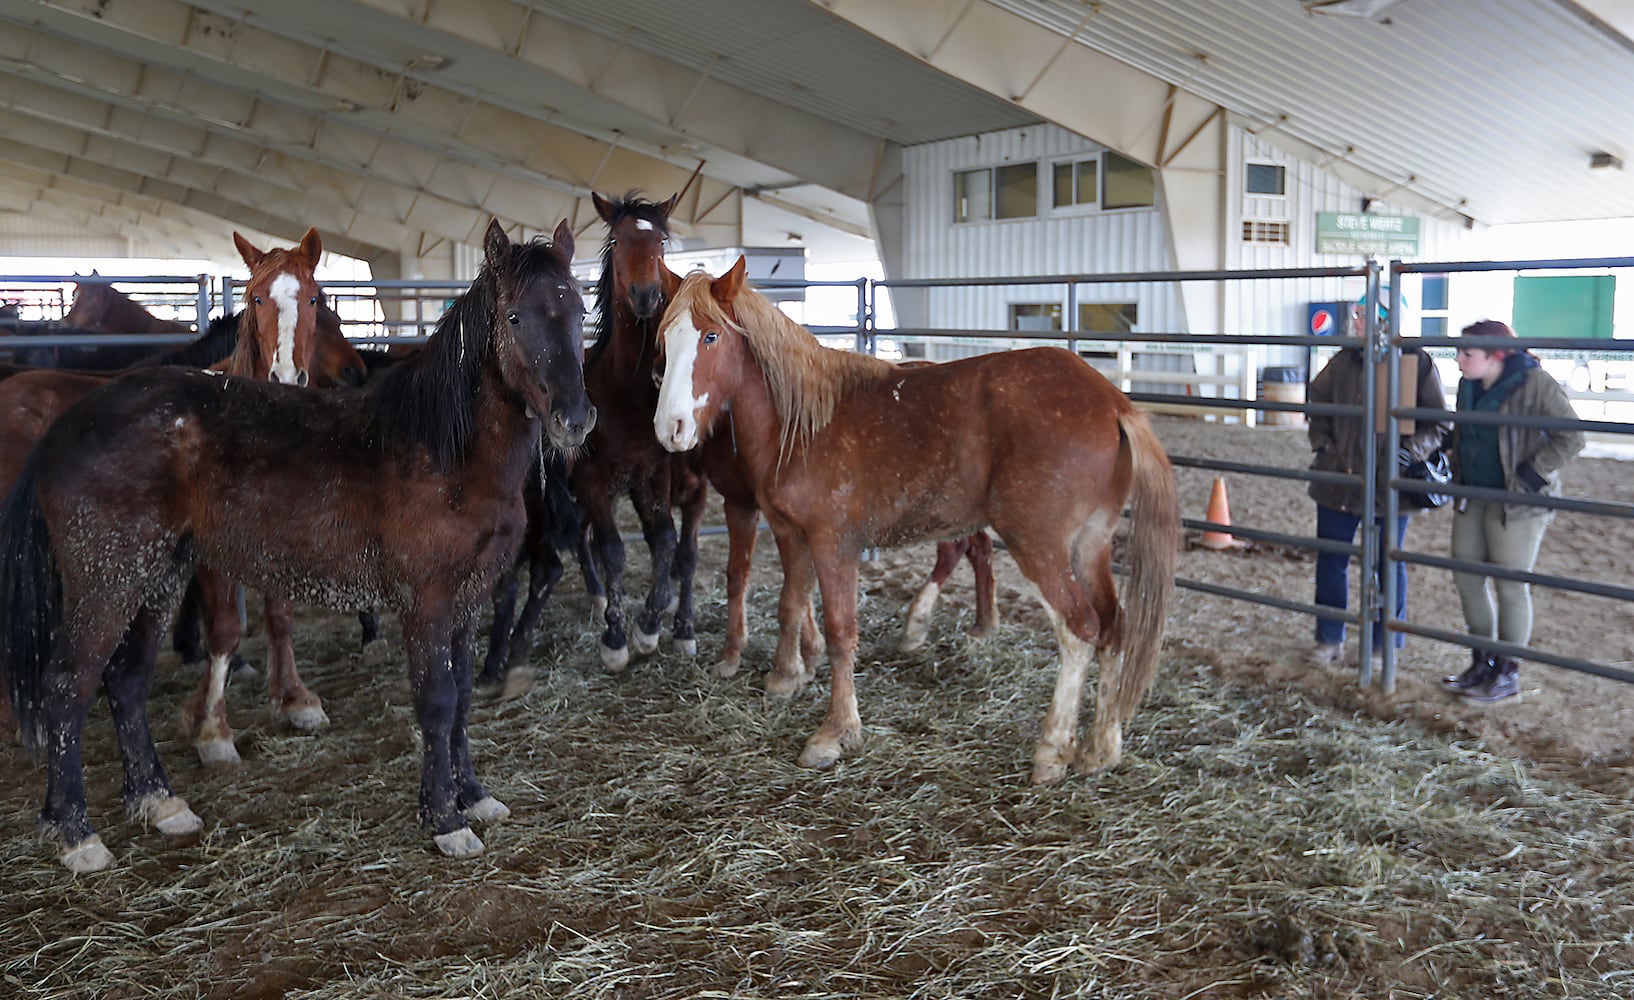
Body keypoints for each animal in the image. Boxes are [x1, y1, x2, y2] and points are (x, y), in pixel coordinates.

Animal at [0, 217, 594, 869]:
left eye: (578, 309)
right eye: (514, 316)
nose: (575, 419)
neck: (443, 449)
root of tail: (66, 426)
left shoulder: (469, 598)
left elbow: (462, 697)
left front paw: (476, 797)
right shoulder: (428, 604)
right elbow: (437, 702)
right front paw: (445, 820)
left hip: (158, 579)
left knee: (126, 681)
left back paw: (160, 802)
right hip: (106, 583)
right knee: (66, 687)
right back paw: (76, 833)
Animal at [656, 261, 1183, 784]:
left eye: (710, 336)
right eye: (664, 336)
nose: (670, 428)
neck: (801, 425)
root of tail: (1113, 402)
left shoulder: (832, 544)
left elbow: (840, 631)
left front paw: (834, 733)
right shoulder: (789, 534)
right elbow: (790, 605)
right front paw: (785, 678)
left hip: (1040, 545)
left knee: (1079, 629)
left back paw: (1051, 752)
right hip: (1090, 545)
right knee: (1114, 628)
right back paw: (1100, 749)